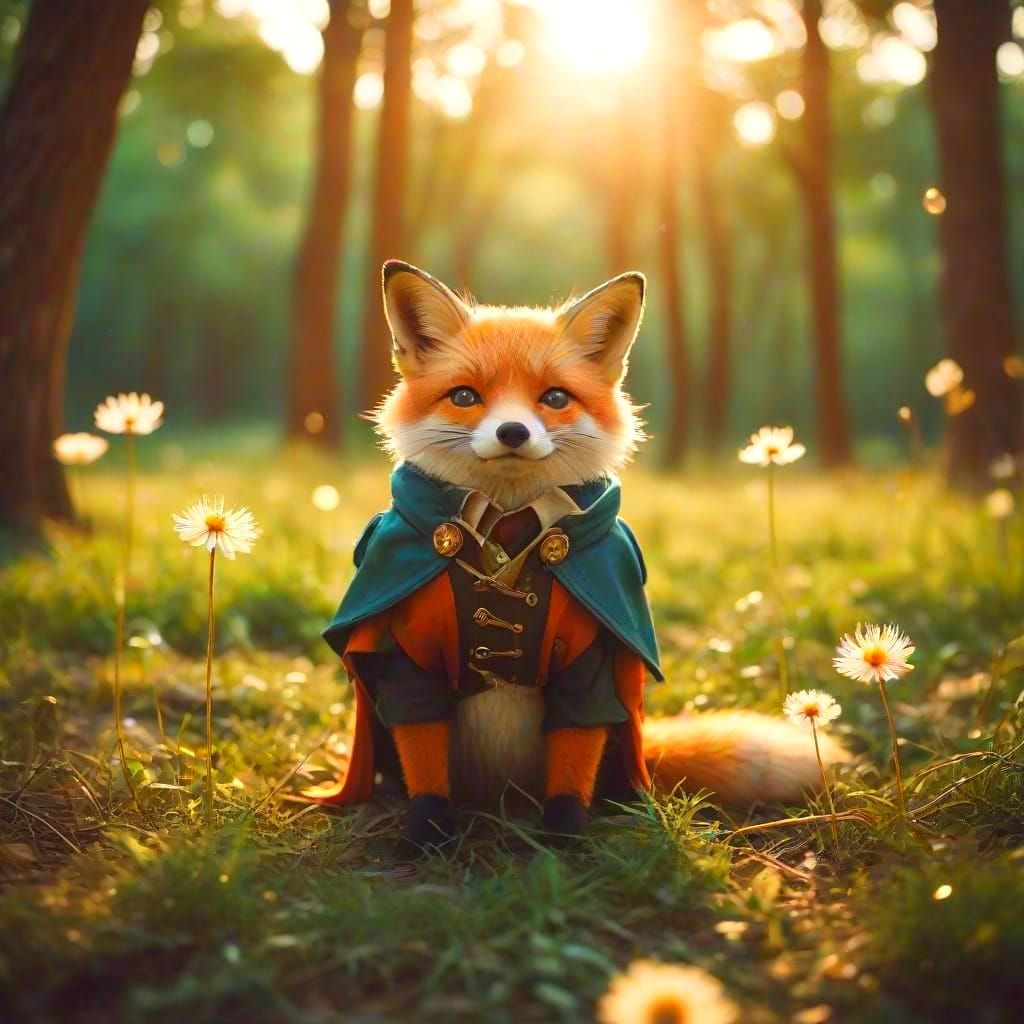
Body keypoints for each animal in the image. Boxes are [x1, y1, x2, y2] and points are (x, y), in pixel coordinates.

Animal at [309, 260, 846, 854]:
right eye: (466, 397)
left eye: (555, 398)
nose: (513, 431)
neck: (509, 528)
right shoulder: (412, 658)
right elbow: (424, 759)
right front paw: (426, 835)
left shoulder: (592, 664)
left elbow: (574, 761)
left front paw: (564, 842)